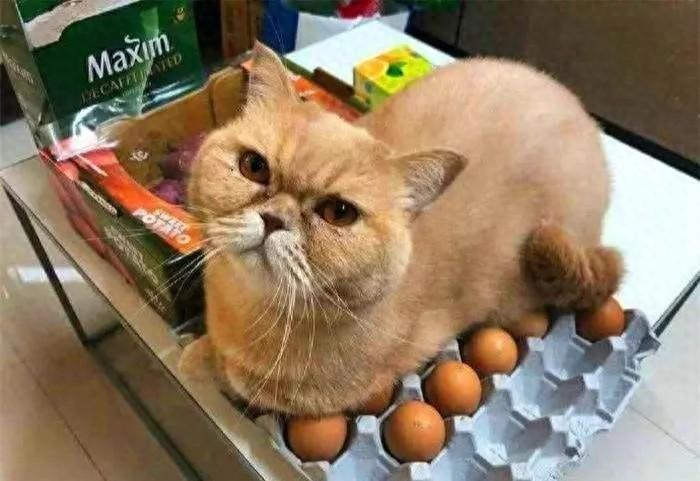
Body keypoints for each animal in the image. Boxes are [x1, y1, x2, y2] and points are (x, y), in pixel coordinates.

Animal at [180, 43, 622, 416]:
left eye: (338, 212)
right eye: (254, 166)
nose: (273, 220)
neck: (251, 311)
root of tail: (585, 117)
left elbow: (231, 377)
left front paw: (200, 362)